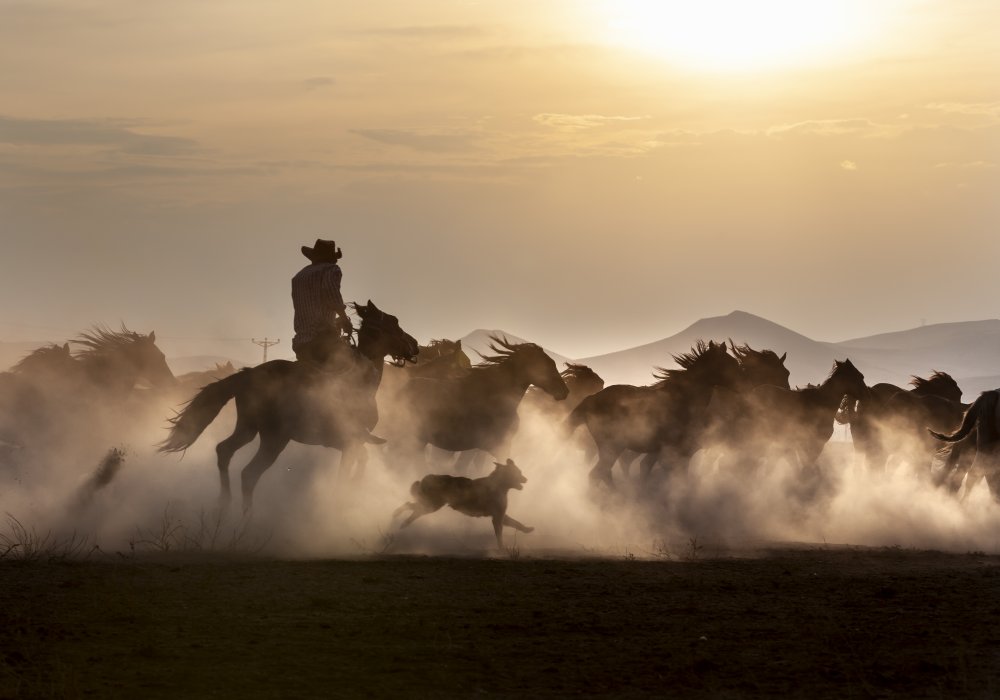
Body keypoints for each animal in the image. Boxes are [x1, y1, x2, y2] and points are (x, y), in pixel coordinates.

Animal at [160, 300, 418, 508]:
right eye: (394, 321)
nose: (415, 345)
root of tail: (248, 374)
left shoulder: (341, 441)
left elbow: (362, 459)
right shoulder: (350, 441)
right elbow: (348, 471)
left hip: (247, 428)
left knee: (224, 451)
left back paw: (224, 504)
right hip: (274, 438)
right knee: (249, 474)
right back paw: (244, 520)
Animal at [392, 456, 540, 548]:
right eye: (518, 473)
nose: (526, 479)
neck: (499, 485)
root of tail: (429, 477)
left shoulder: (501, 516)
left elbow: (517, 523)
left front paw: (527, 529)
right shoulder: (497, 518)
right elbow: (500, 537)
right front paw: (502, 549)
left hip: (429, 505)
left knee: (411, 507)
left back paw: (400, 519)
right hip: (431, 506)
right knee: (411, 508)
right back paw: (400, 518)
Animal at [568, 340, 748, 486]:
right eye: (730, 363)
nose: (743, 385)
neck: (684, 399)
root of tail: (590, 399)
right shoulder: (679, 451)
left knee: (603, 474)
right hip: (612, 447)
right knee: (597, 474)